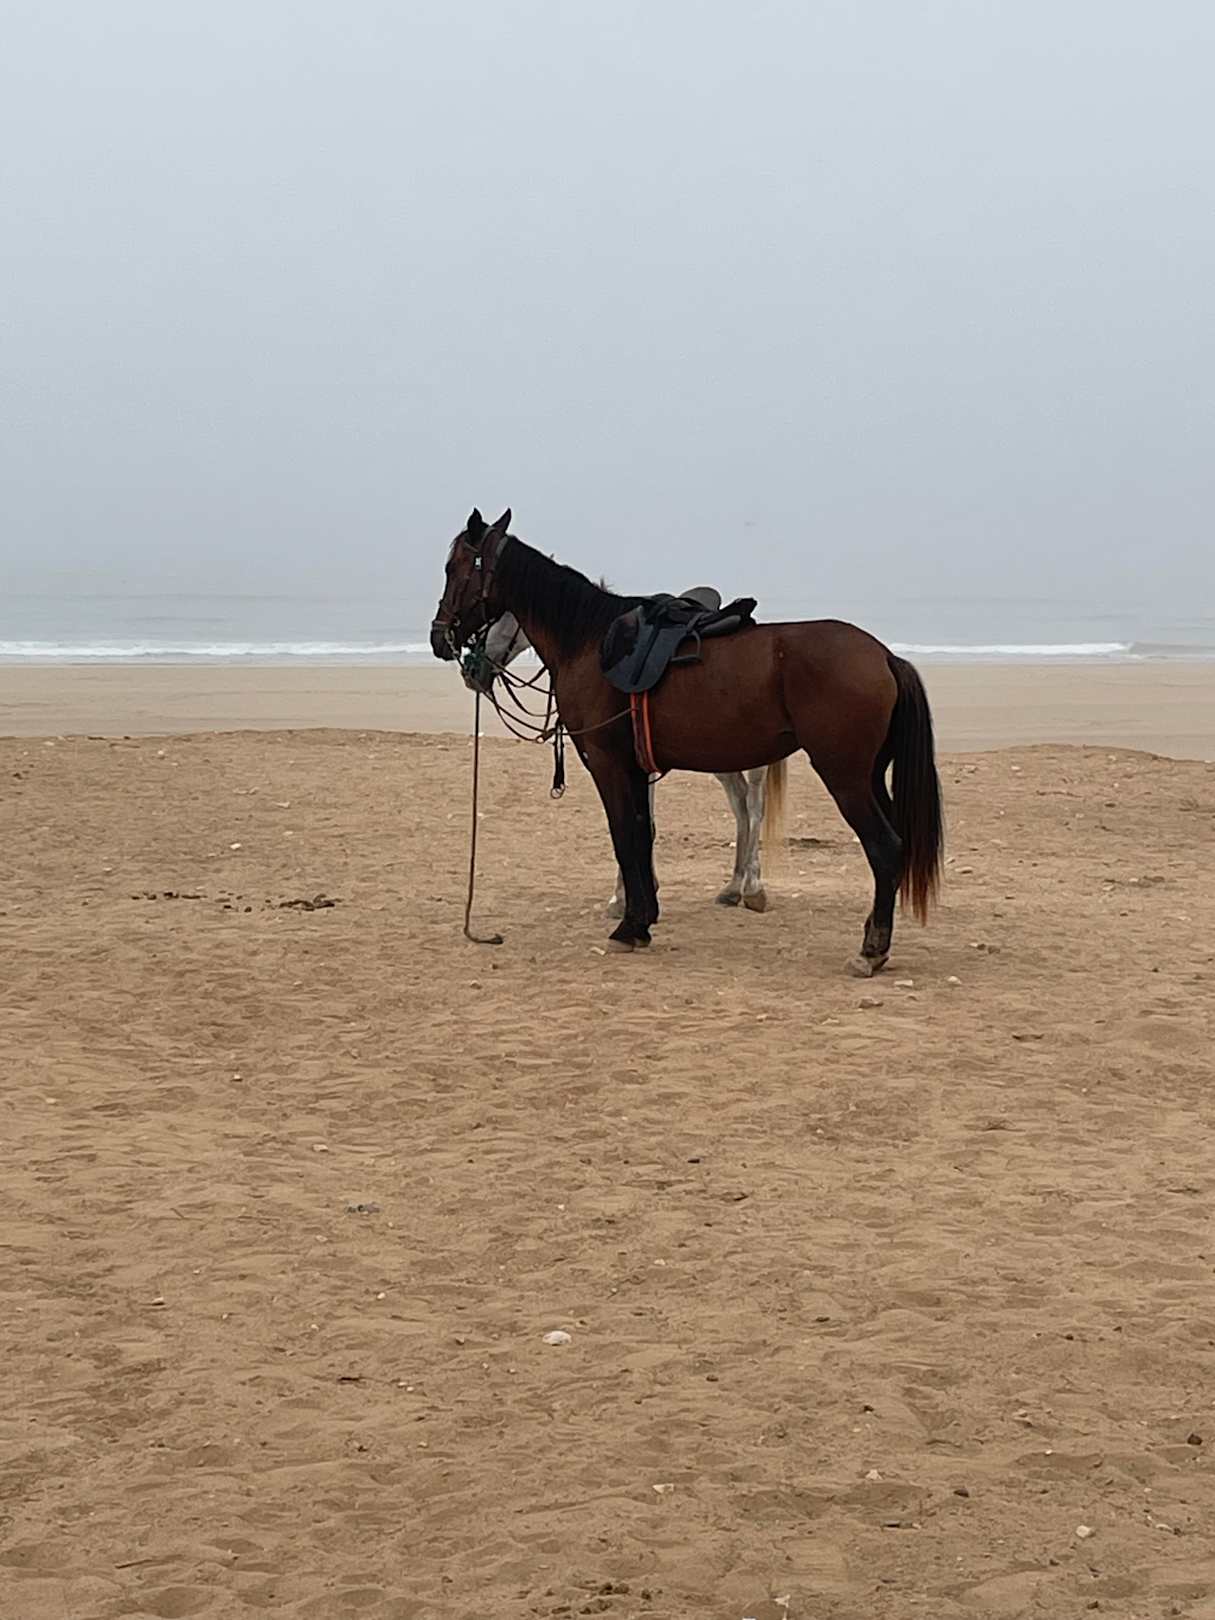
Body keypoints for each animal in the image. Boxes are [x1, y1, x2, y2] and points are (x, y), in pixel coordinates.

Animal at [464, 607, 781, 915]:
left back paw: (753, 889)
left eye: (496, 614)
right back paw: (733, 888)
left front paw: (625, 897)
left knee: (754, 807)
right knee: (740, 804)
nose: (471, 672)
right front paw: (630, 894)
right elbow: (640, 824)